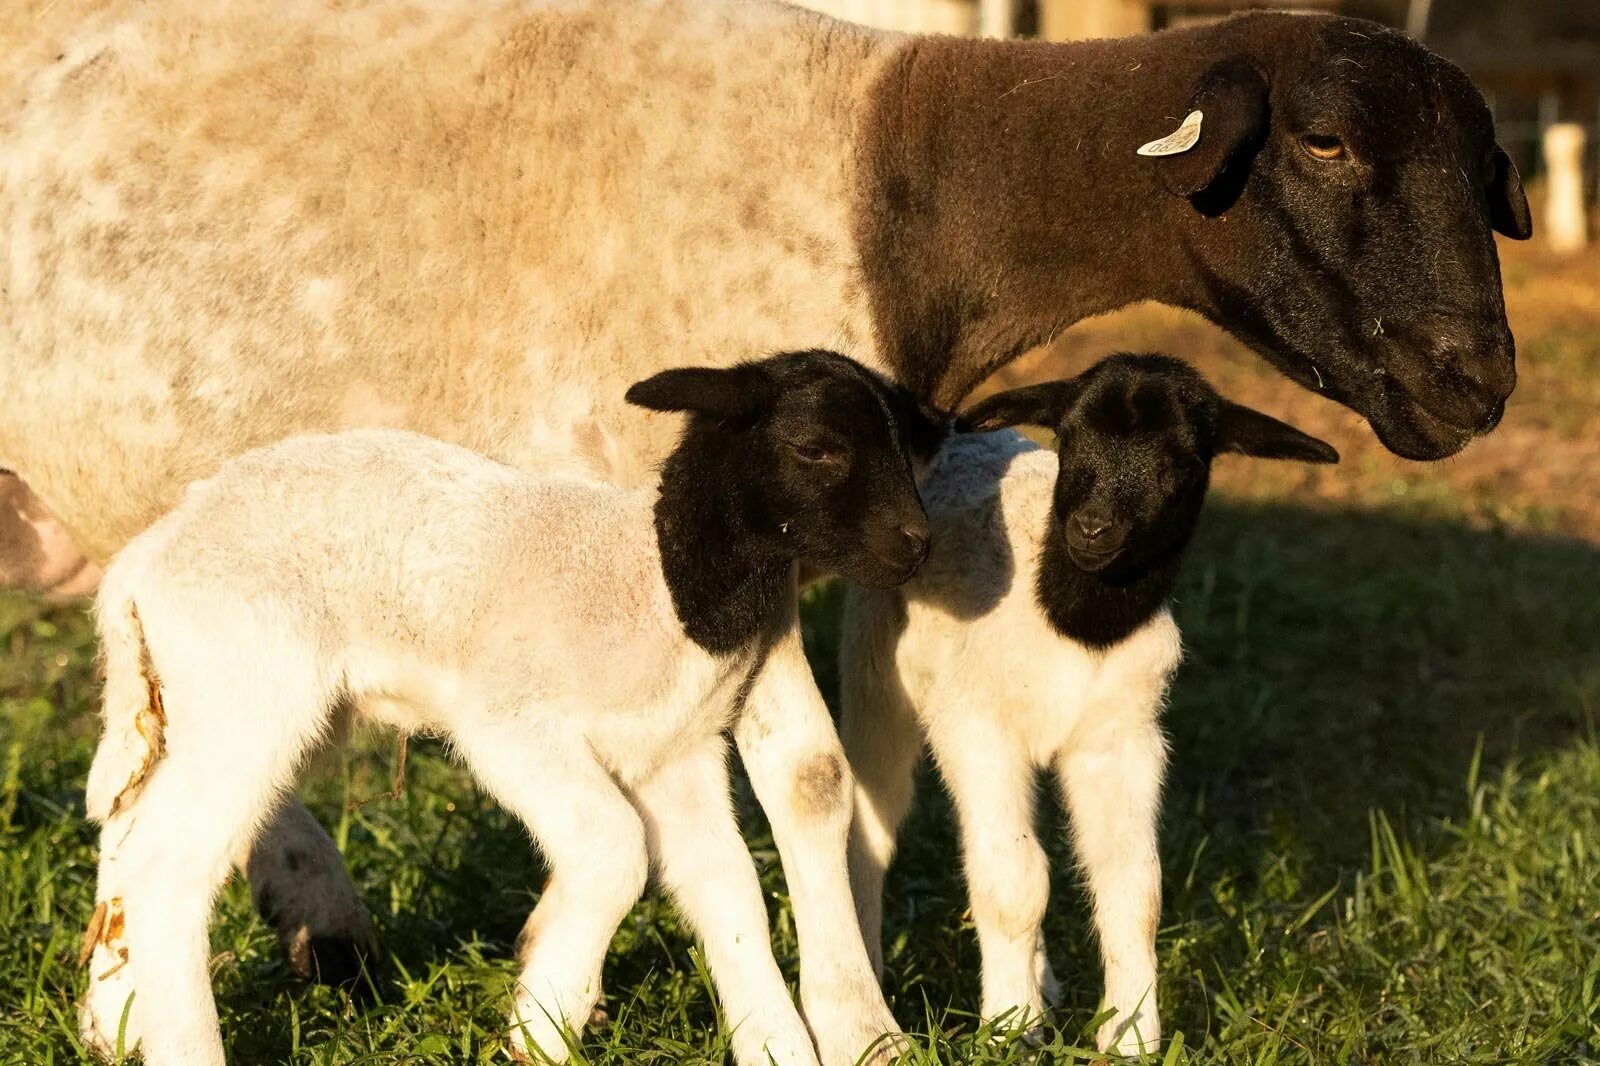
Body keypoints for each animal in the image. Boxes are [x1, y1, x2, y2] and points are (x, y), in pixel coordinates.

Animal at [0, 0, 1523, 1049]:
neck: (903, 199)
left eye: (1485, 164)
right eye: (1324, 140)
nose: (1476, 380)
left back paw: (167, 977)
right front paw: (854, 1021)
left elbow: (832, 784)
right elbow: (806, 774)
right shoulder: (719, 534)